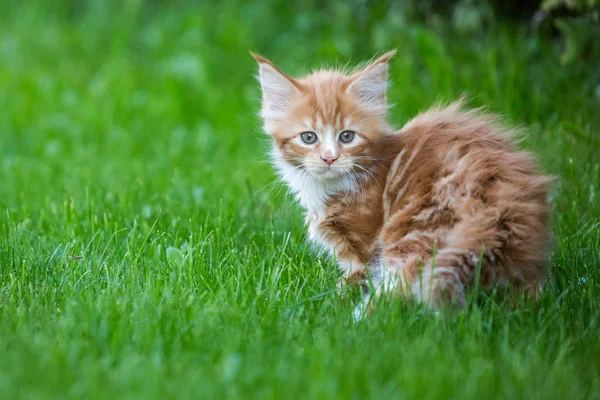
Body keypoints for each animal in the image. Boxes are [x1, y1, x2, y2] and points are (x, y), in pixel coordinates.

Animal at [252, 50, 552, 316]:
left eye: (347, 136)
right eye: (308, 137)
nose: (329, 158)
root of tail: (499, 213)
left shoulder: (365, 245)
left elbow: (356, 276)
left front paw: (340, 293)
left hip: (415, 230)